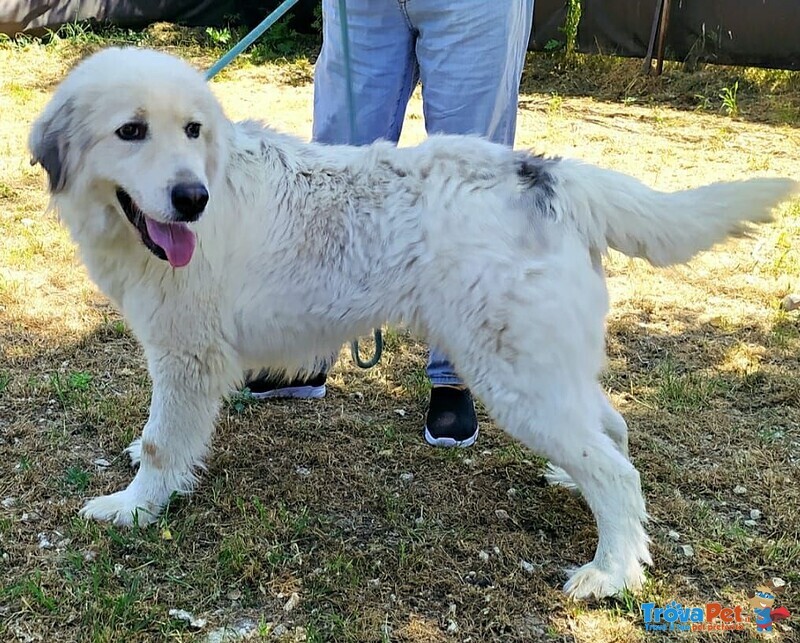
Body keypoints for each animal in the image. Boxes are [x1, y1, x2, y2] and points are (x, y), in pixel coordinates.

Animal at [29, 47, 792, 600]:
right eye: (131, 131)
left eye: (193, 130)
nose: (193, 198)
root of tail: (547, 174)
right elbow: (159, 435)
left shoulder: (188, 356)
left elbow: (166, 445)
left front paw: (133, 508)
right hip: (546, 368)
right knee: (611, 430)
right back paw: (580, 493)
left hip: (514, 376)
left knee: (618, 469)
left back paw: (612, 571)